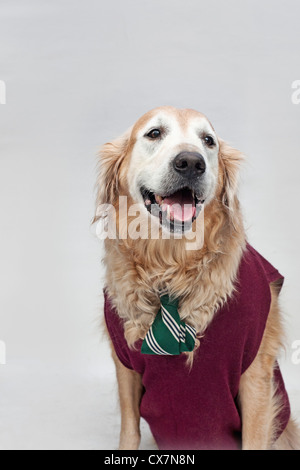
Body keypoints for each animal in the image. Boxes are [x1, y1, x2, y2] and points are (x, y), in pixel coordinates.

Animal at [94, 106, 300, 452]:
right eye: (154, 133)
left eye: (208, 141)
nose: (191, 162)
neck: (172, 265)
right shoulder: (125, 364)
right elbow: (129, 431)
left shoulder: (256, 373)